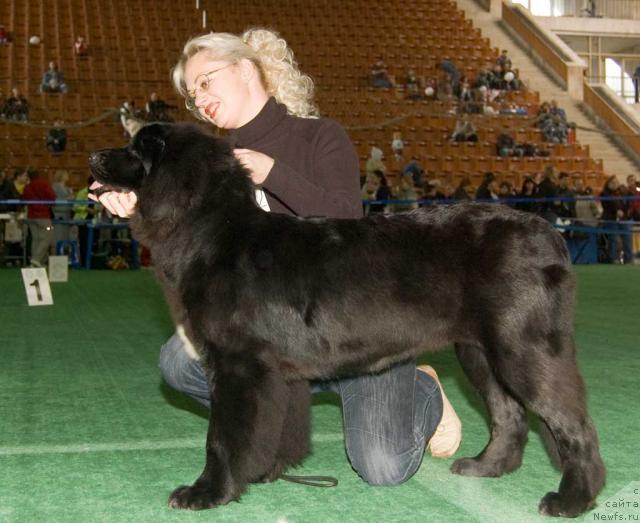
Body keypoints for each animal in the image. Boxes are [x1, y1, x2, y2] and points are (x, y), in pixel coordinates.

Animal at [89, 124, 604, 520]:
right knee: (508, 414)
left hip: (522, 348)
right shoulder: (273, 373)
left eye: (138, 149)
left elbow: (222, 435)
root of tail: (549, 234)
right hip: (479, 352)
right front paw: (269, 472)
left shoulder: (239, 363)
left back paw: (573, 499)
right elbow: (274, 427)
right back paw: (484, 467)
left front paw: (207, 492)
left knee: (571, 422)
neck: (217, 232)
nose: (94, 156)